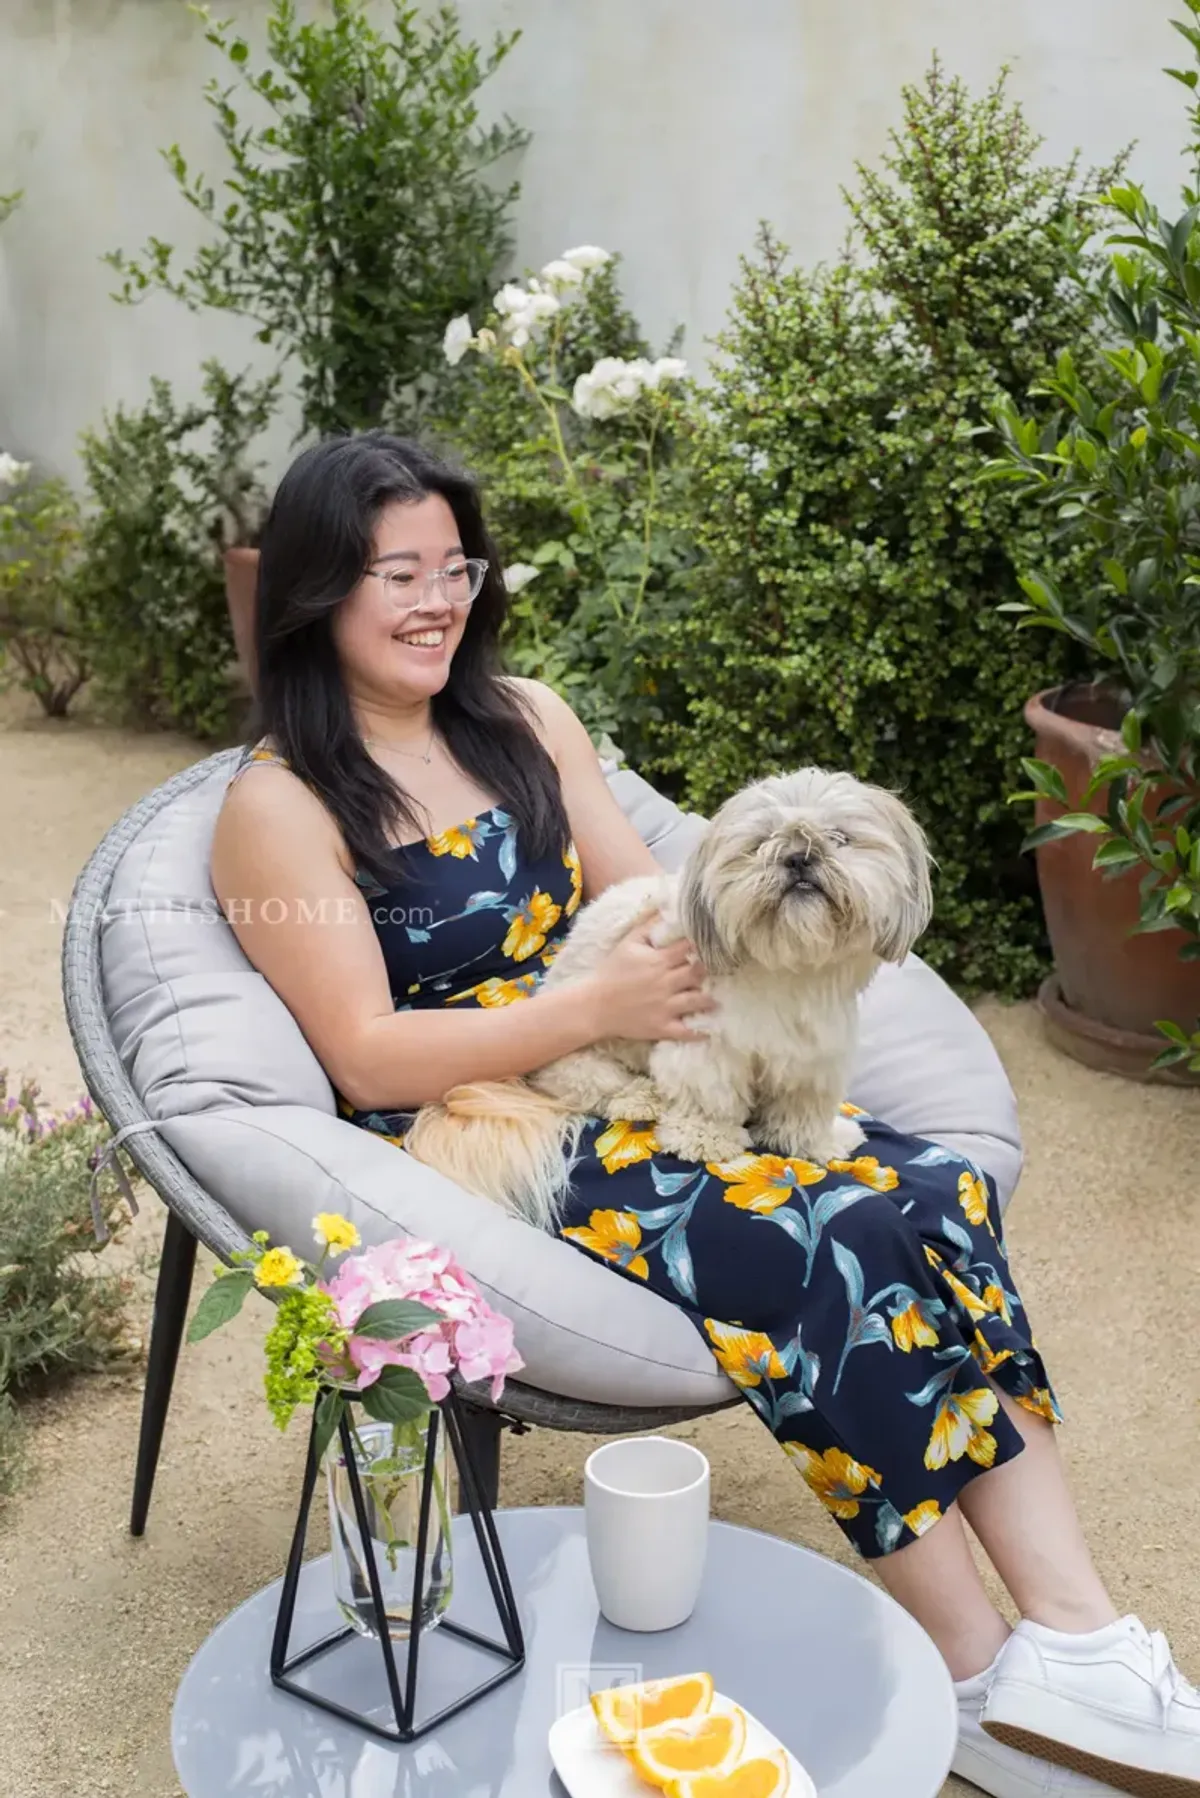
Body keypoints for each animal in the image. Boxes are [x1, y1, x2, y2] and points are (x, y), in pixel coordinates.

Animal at [406, 765, 935, 1229]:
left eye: (840, 838)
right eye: (759, 843)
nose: (799, 856)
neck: (787, 969)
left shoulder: (814, 1056)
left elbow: (803, 1109)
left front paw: (819, 1142)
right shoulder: (701, 1043)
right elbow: (709, 1097)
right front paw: (705, 1138)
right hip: (575, 1054)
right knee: (598, 1086)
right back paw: (641, 1097)